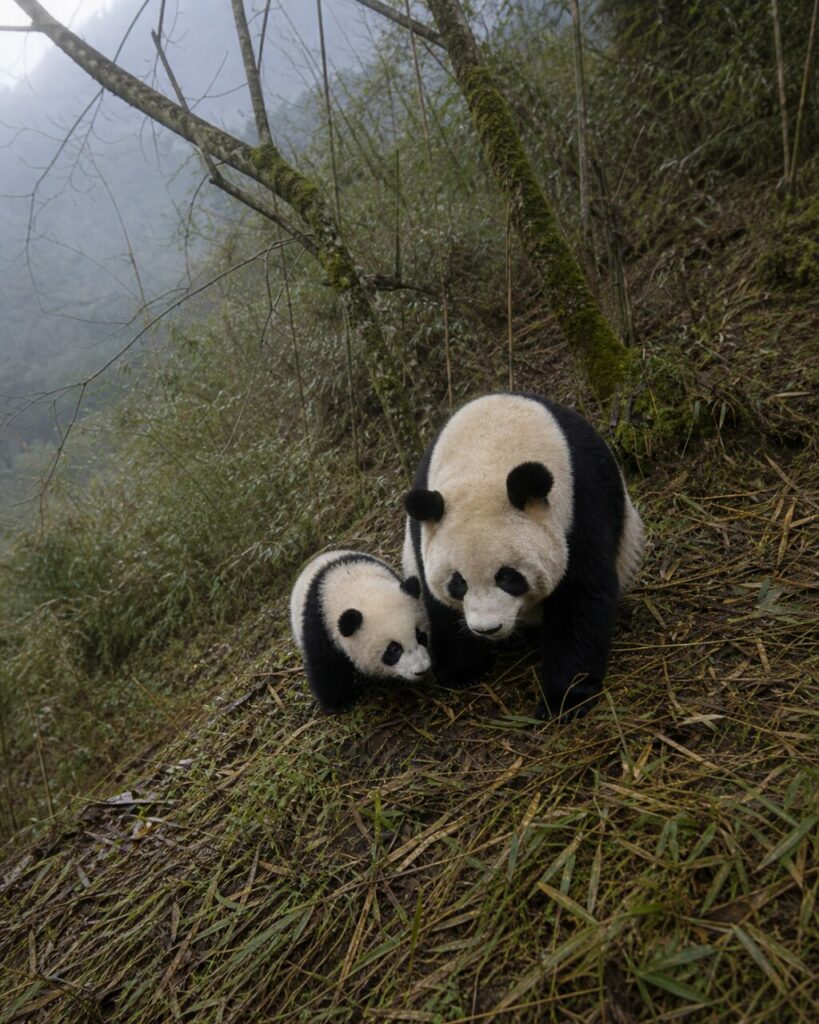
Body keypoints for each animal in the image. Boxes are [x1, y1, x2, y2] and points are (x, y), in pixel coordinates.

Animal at [290, 550, 432, 713]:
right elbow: (326, 666)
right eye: (394, 649)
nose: (421, 670)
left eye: (420, 636)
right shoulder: (321, 624)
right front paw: (340, 704)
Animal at [403, 393, 643, 719]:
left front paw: (564, 699)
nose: (488, 629)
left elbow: (580, 595)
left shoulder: (580, 502)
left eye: (507, 576)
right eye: (458, 583)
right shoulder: (424, 528)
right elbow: (437, 604)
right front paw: (462, 671)